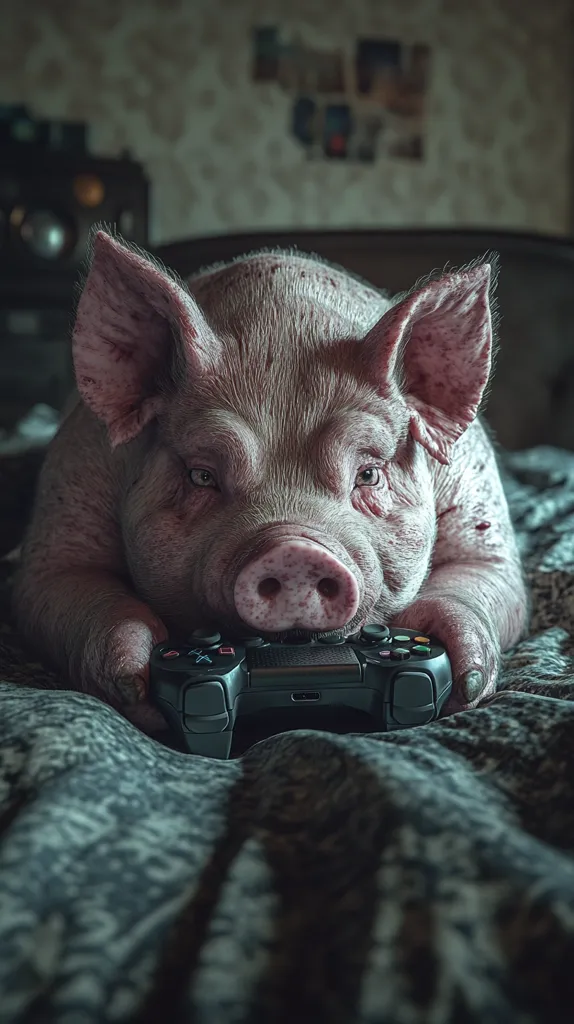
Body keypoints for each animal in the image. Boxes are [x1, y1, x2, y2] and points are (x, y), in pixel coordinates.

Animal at [13, 231, 528, 733]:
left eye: (368, 474)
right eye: (201, 475)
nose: (296, 552)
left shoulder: (477, 501)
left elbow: (484, 574)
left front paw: (465, 680)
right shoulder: (66, 507)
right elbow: (69, 585)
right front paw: (133, 688)